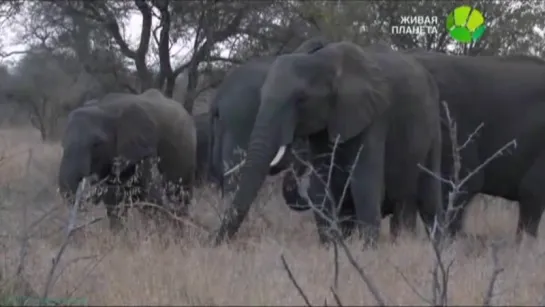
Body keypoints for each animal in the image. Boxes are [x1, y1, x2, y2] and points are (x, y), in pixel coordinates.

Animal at [58, 88, 198, 233]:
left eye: (97, 144)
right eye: (63, 143)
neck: (105, 108)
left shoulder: (143, 146)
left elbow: (151, 195)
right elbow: (113, 200)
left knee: (181, 196)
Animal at [210, 41, 444, 248]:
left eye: (301, 99)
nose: (216, 244)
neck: (323, 61)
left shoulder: (373, 118)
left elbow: (364, 186)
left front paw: (367, 253)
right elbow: (320, 188)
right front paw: (333, 248)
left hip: (433, 128)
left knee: (429, 202)